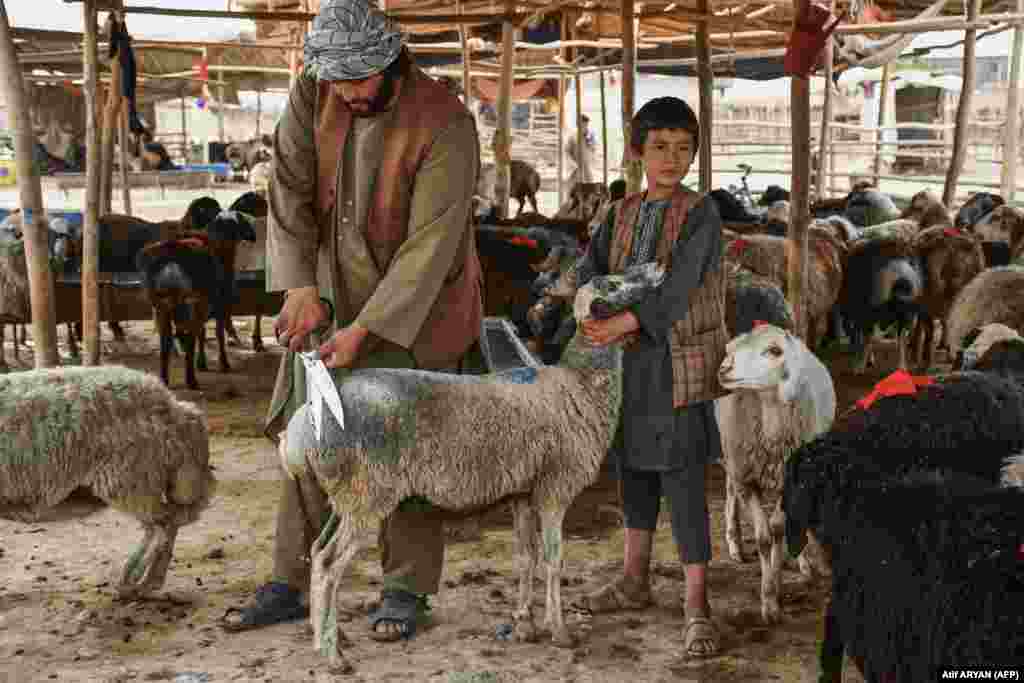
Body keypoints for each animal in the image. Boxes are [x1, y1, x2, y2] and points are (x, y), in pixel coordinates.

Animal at [1, 366, 214, 593]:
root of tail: (175, 409)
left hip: (131, 478)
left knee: (163, 525)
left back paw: (134, 581)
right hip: (144, 480)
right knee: (170, 521)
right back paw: (149, 581)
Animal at [276, 264, 663, 671]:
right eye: (614, 284)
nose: (657, 267)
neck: (579, 384)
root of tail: (308, 421)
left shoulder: (522, 492)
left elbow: (526, 557)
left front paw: (524, 624)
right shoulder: (554, 489)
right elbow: (554, 560)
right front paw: (559, 632)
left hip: (348, 495)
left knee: (317, 552)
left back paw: (323, 638)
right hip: (369, 493)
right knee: (330, 564)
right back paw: (334, 655)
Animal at [716, 325, 835, 626]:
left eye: (774, 350)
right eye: (731, 349)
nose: (724, 368)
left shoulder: (790, 480)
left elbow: (780, 528)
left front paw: (776, 585)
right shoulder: (746, 477)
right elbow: (763, 537)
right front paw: (768, 601)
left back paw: (802, 563)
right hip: (733, 457)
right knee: (730, 489)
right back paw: (734, 541)